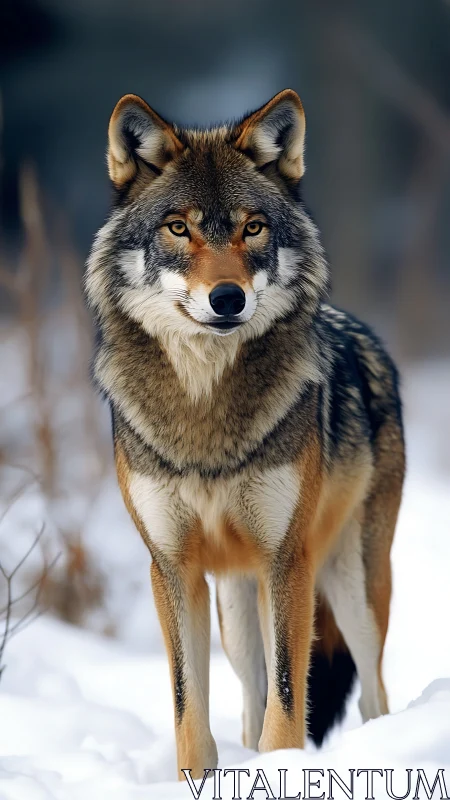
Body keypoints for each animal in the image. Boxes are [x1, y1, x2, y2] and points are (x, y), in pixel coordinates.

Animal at [85, 89, 405, 780]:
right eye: (178, 228)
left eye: (252, 228)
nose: (227, 299)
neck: (206, 417)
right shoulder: (172, 568)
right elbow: (190, 708)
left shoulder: (288, 559)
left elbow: (289, 703)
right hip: (236, 610)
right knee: (248, 703)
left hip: (351, 586)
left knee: (373, 694)